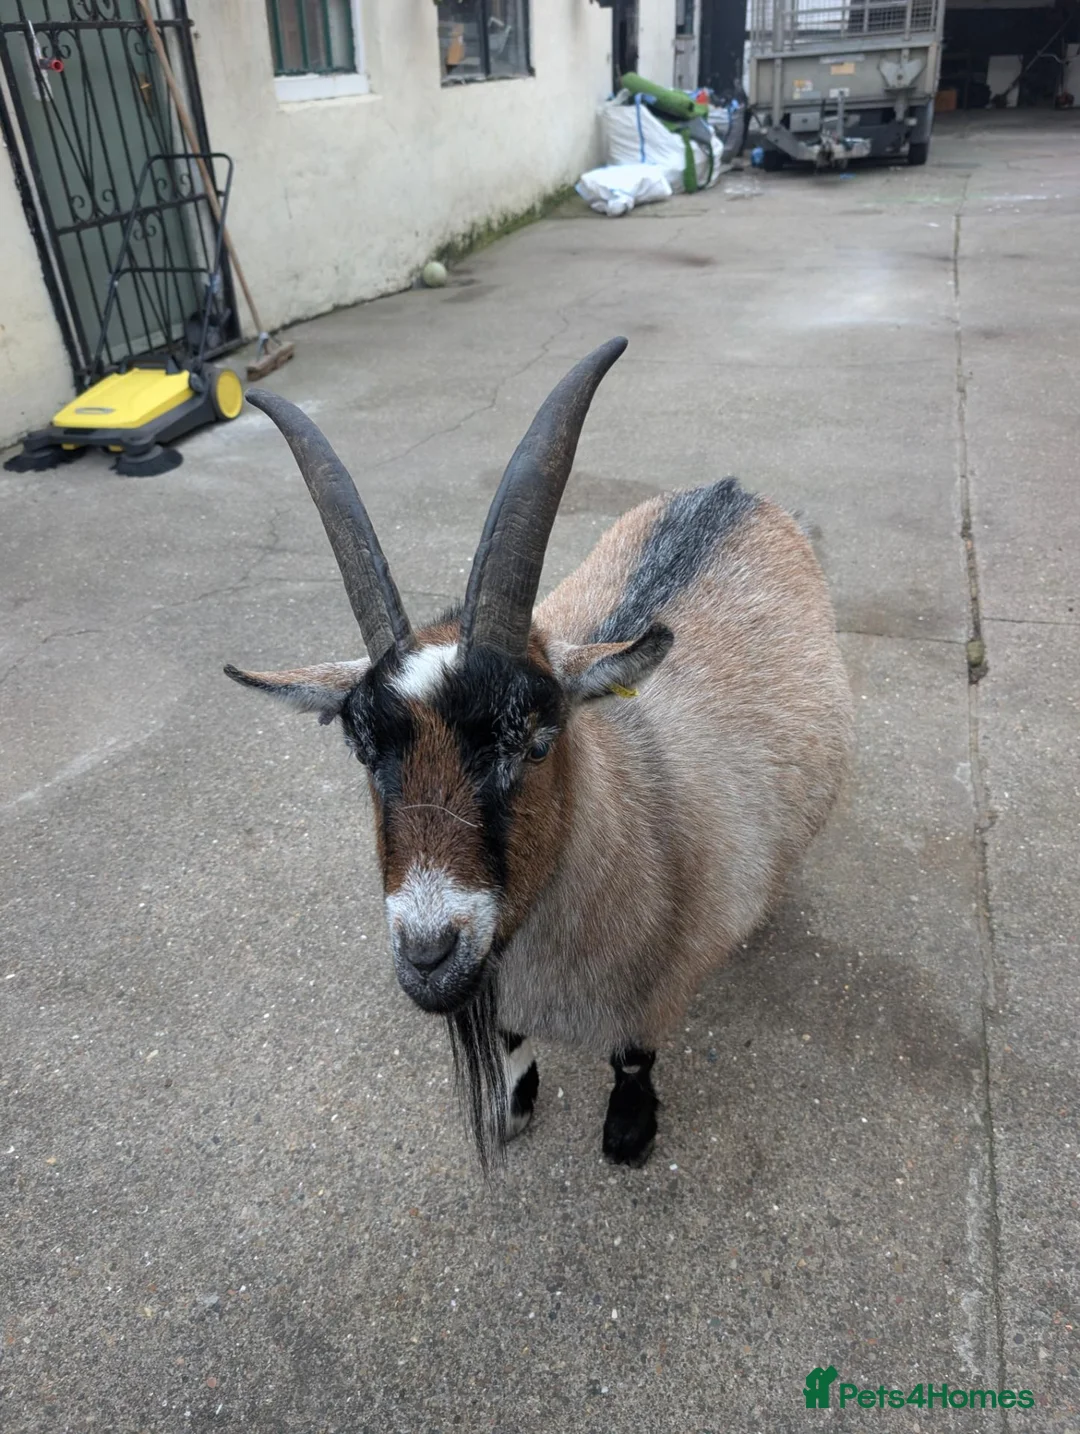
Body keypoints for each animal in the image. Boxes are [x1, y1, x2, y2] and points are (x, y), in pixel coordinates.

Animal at [225, 338, 853, 1168]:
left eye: (535, 740)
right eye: (361, 750)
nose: (428, 956)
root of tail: (736, 493)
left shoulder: (653, 995)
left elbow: (633, 1059)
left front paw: (629, 1135)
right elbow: (513, 1041)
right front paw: (516, 1103)